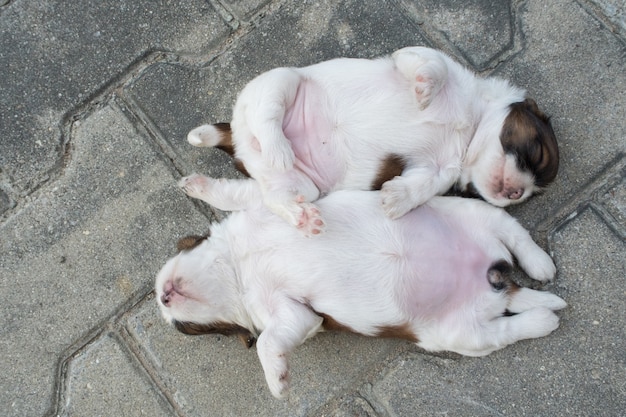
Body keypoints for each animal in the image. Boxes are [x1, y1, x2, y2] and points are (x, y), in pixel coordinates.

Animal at [157, 174, 564, 398]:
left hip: (473, 213)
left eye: (184, 329)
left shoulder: (264, 202)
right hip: (461, 334)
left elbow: (231, 193)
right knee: (506, 329)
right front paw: (278, 378)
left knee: (514, 232)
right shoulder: (293, 314)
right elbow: (272, 338)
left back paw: (540, 266)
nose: (162, 300)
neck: (238, 266)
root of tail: (498, 281)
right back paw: (544, 315)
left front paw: (195, 185)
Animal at [188, 46, 560, 234]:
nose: (516, 193)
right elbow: (435, 67)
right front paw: (425, 90)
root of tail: (239, 140)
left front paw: (396, 199)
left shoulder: (438, 169)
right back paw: (277, 147)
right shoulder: (419, 54)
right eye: (537, 151)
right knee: (268, 115)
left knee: (265, 197)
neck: (468, 126)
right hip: (281, 81)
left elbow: (423, 185)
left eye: (531, 194)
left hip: (302, 186)